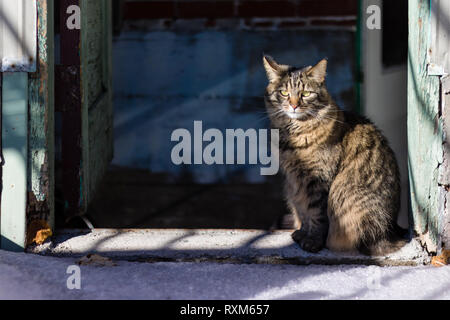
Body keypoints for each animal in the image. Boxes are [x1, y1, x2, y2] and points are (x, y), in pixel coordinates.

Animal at [264, 55, 408, 255]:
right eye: (284, 93)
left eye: (305, 94)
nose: (293, 105)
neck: (294, 136)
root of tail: (392, 229)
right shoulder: (295, 183)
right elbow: (303, 212)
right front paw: (302, 234)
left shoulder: (318, 181)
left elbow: (317, 216)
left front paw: (312, 242)